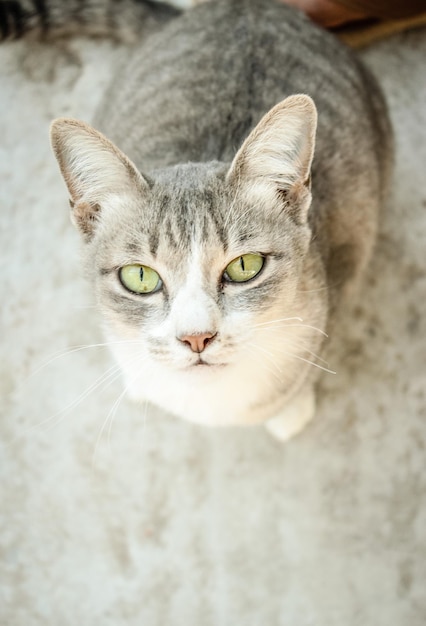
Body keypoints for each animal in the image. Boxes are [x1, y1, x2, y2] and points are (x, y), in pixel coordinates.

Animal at [46, 0, 392, 438]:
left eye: (245, 266)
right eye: (139, 276)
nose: (196, 338)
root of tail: (238, 6)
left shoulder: (346, 260)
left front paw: (293, 407)